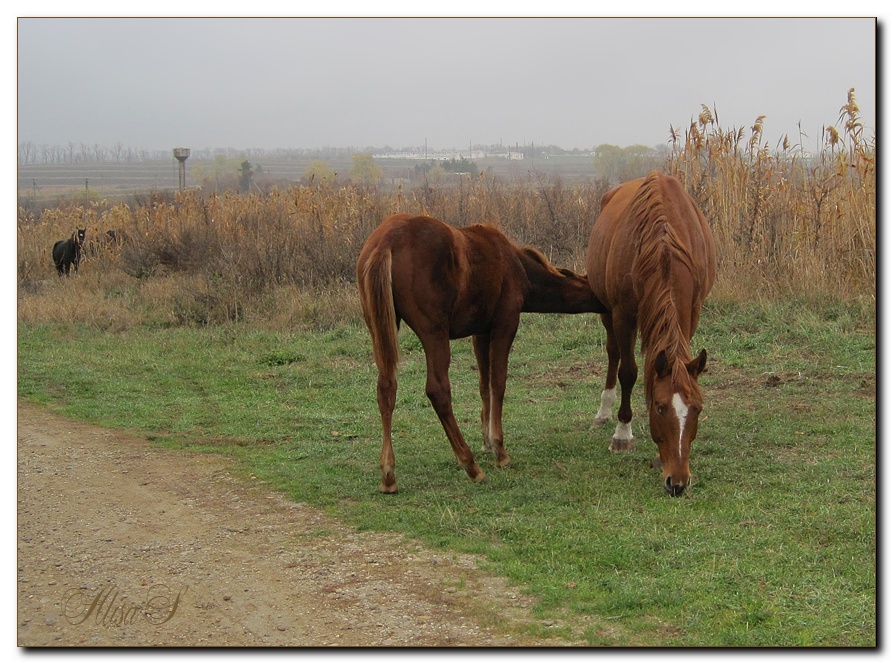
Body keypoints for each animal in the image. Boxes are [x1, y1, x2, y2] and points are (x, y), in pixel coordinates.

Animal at [358, 214, 608, 492]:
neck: (517, 266)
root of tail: (385, 243)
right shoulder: (505, 324)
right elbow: (498, 383)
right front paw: (499, 449)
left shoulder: (480, 332)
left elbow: (483, 384)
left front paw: (487, 441)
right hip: (434, 333)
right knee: (438, 390)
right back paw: (471, 466)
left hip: (381, 329)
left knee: (386, 389)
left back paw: (388, 474)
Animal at [588, 174, 720, 496]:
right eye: (660, 409)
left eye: (698, 409)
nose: (679, 482)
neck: (664, 246)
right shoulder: (623, 314)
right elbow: (628, 372)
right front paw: (622, 434)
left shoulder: (692, 311)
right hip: (606, 311)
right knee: (613, 353)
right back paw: (605, 410)